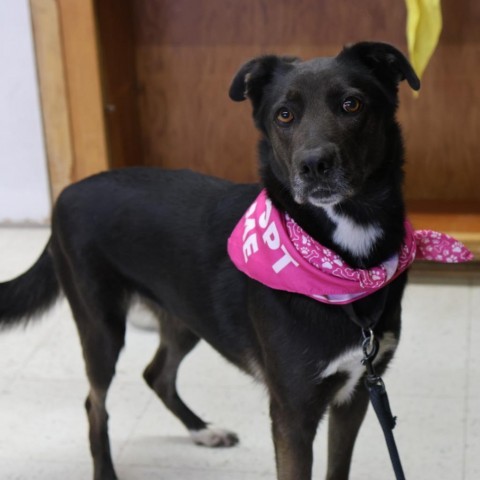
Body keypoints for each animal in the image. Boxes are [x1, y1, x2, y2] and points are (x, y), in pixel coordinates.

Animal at [0, 42, 418, 480]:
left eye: (352, 104)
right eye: (284, 115)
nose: (313, 165)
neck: (343, 263)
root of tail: (65, 195)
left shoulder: (356, 394)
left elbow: (338, 467)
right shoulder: (292, 415)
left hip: (186, 315)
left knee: (156, 375)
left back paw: (203, 431)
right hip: (102, 329)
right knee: (94, 403)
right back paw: (107, 468)